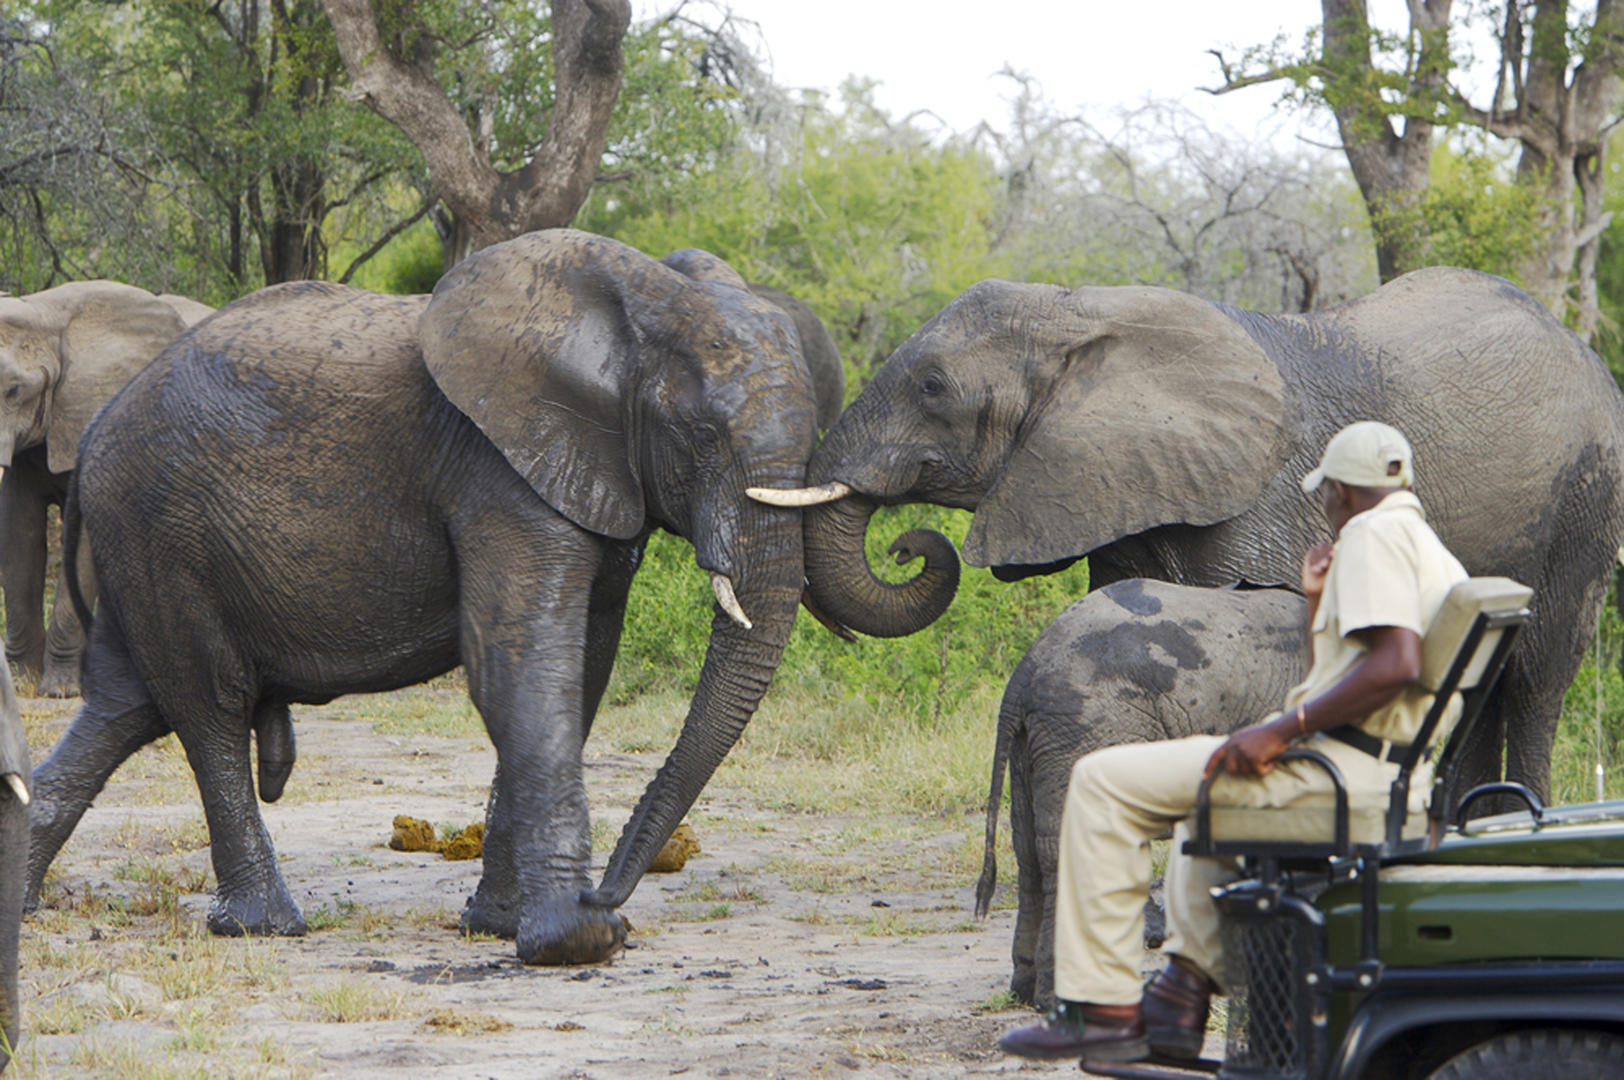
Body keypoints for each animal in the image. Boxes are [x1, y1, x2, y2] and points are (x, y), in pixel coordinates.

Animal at [786, 264, 1624, 795]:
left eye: (932, 388)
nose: (907, 545)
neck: (1081, 309)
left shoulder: (1265, 496)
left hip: (1586, 501)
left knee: (1537, 673)